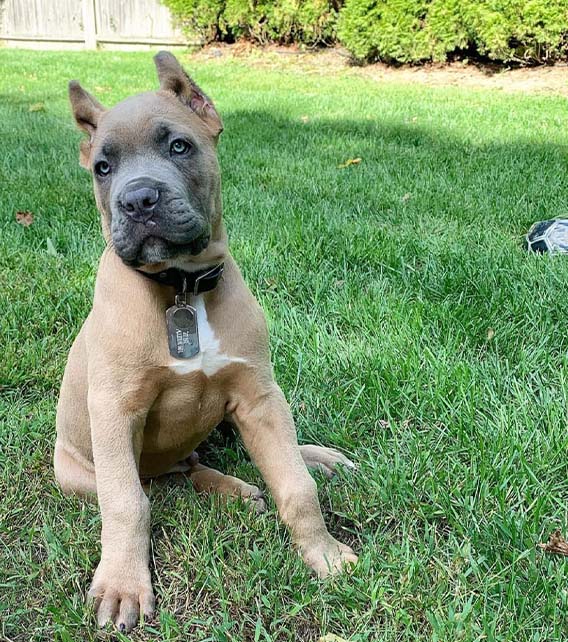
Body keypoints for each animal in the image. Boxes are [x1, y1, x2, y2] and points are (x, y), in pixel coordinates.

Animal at [55, 51, 358, 632]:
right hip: (77, 471)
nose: (138, 199)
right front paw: (123, 586)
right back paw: (231, 489)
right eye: (103, 167)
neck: (181, 288)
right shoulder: (115, 411)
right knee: (164, 481)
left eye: (179, 146)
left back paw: (291, 464)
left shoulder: (258, 395)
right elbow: (127, 504)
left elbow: (296, 488)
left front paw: (324, 554)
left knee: (211, 460)